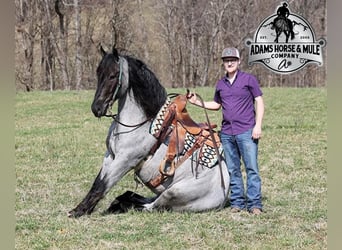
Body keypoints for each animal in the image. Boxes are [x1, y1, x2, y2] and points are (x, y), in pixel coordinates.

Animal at [68, 46, 230, 217]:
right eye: (99, 74)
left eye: (113, 75)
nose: (97, 108)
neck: (140, 122)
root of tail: (224, 193)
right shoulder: (110, 156)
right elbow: (98, 183)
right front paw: (83, 208)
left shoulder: (124, 161)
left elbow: (101, 186)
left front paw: (79, 211)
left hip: (171, 193)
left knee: (149, 206)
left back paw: (121, 204)